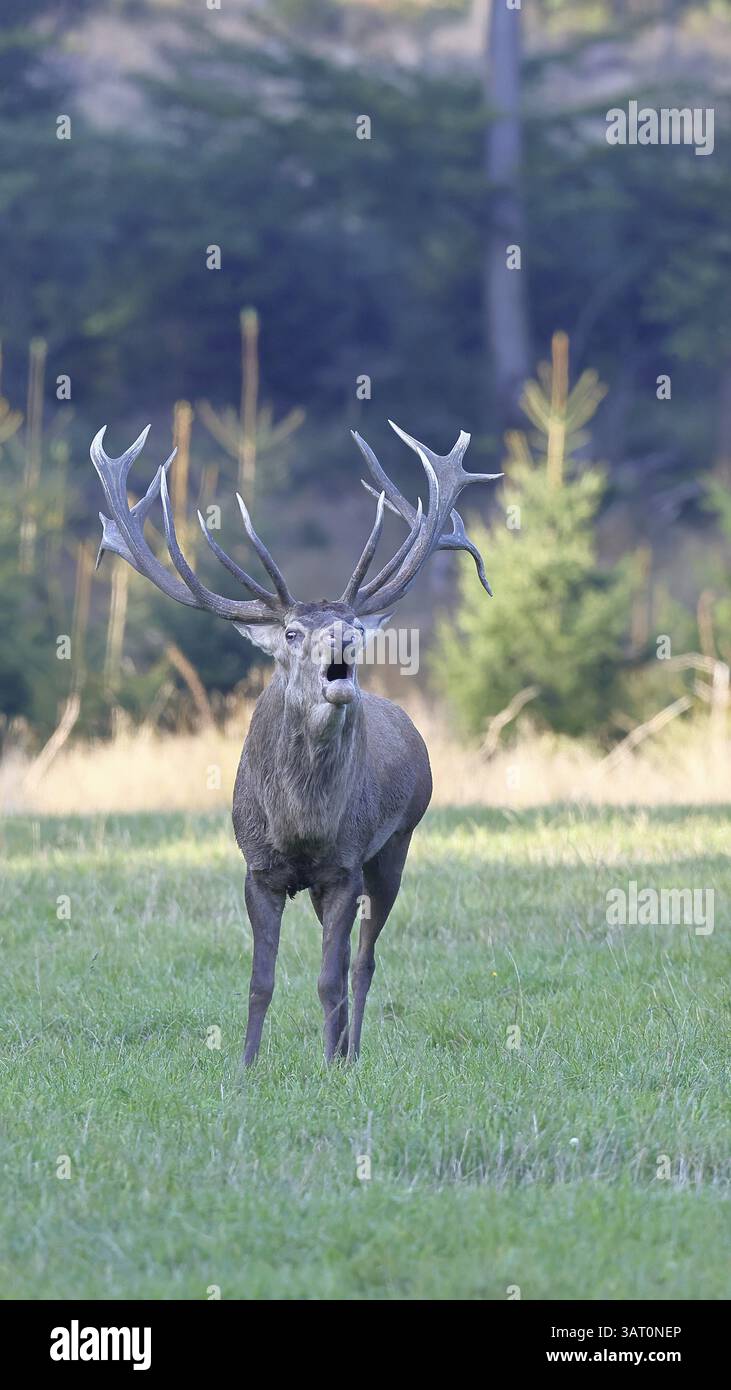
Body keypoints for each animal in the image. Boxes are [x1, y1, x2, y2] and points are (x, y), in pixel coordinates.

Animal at [91, 419, 500, 1063]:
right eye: (290, 631)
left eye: (352, 624)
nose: (342, 639)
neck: (301, 824)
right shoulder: (258, 869)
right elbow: (260, 979)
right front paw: (247, 1065)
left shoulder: (344, 864)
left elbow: (329, 977)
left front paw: (329, 1064)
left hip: (396, 844)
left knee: (362, 961)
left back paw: (351, 1053)